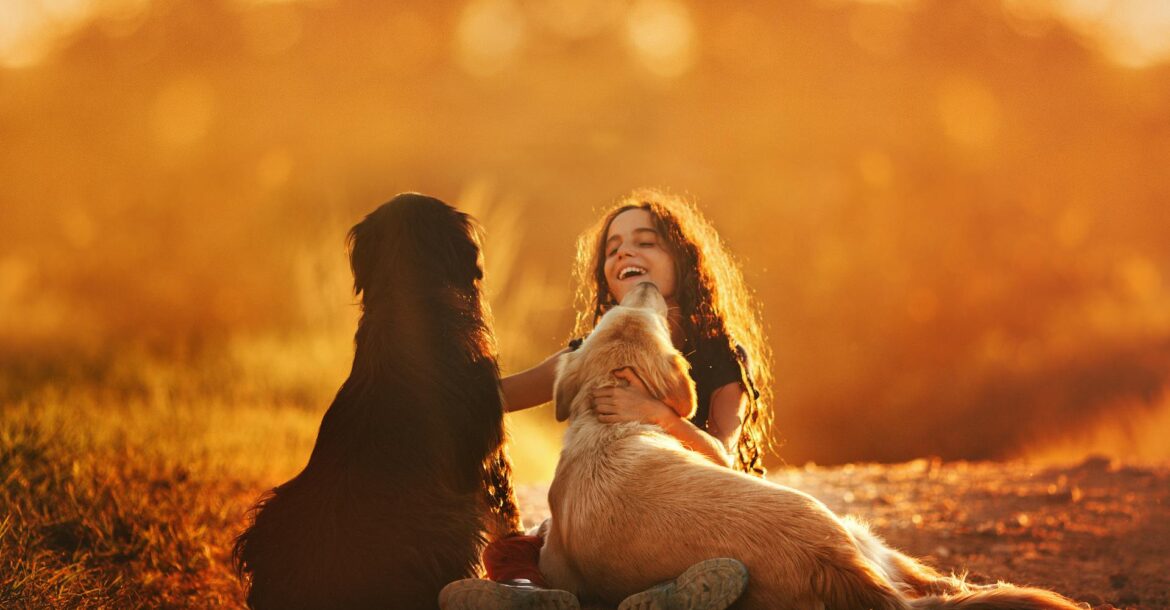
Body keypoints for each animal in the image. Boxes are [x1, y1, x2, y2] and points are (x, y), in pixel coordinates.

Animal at [535, 283, 1081, 608]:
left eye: (631, 307)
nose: (645, 284)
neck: (609, 420)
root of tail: (831, 560)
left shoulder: (555, 564)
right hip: (860, 534)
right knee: (946, 584)